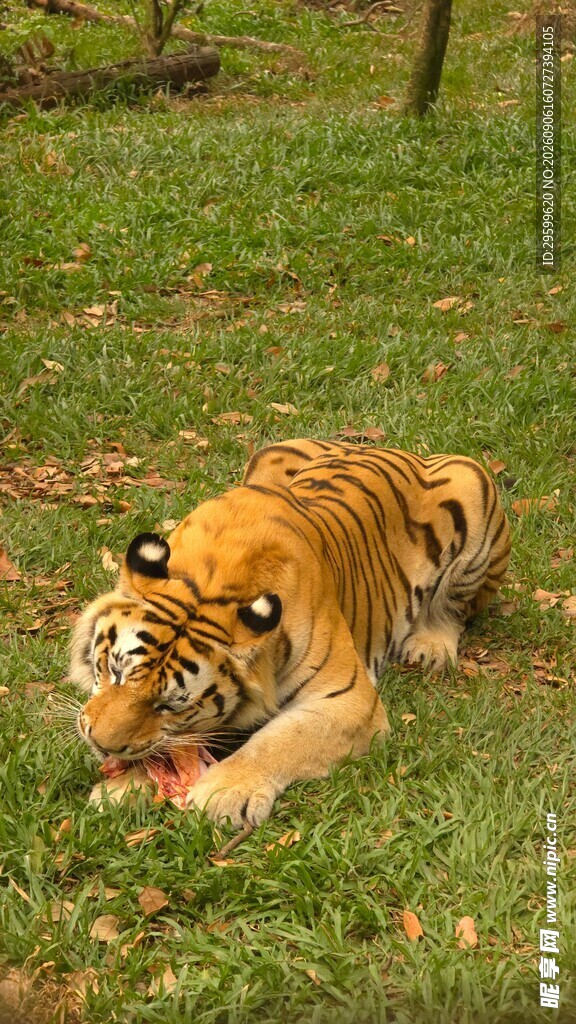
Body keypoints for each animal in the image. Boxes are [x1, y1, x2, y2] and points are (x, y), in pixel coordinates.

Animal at [71, 438, 511, 828]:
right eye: (115, 671)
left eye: (170, 705)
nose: (99, 743)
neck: (215, 580)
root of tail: (385, 446)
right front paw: (122, 788)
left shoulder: (348, 700)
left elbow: (278, 742)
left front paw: (224, 793)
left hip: (474, 488)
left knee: (454, 608)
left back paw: (430, 646)